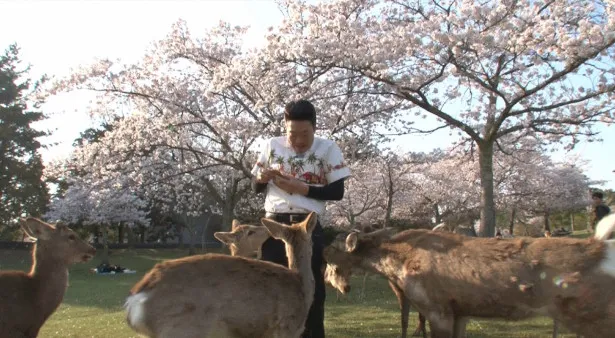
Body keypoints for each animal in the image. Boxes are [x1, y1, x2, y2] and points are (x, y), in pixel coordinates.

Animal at [322, 214, 615, 338]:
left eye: (333, 263)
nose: (341, 287)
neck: (398, 265)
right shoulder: (460, 310)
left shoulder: (437, 307)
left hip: (594, 316)